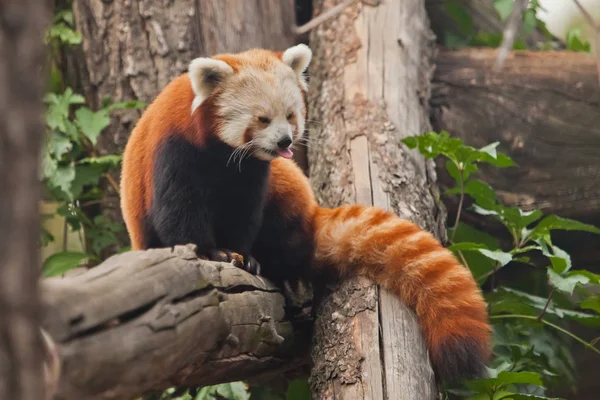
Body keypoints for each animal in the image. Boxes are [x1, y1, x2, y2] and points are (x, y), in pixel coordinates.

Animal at [119, 44, 490, 384]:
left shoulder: (252, 173)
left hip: (288, 198)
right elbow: (178, 213)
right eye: (262, 118)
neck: (218, 151)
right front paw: (214, 252)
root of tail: (312, 218)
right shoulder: (175, 149)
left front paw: (242, 254)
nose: (285, 141)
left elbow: (244, 214)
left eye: (291, 115)